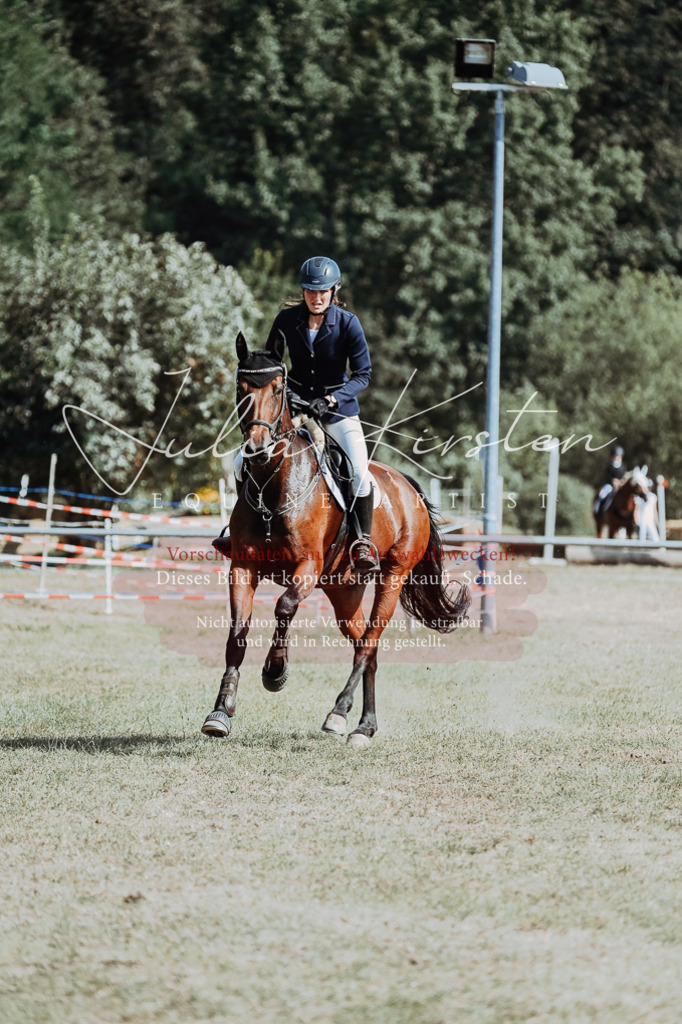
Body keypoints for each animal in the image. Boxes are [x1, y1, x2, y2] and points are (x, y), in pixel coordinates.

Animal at [201, 332, 471, 747]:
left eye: (278, 388)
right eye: (240, 388)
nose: (258, 448)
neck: (273, 484)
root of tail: (409, 487)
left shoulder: (307, 565)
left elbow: (284, 607)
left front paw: (275, 672)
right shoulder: (243, 566)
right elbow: (237, 634)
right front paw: (220, 711)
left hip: (392, 575)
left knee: (370, 641)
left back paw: (339, 713)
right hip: (344, 589)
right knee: (365, 646)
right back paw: (363, 725)